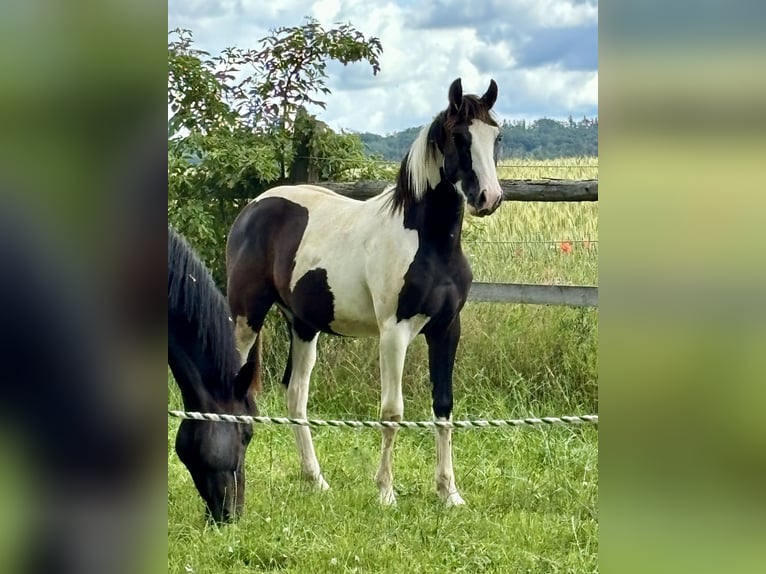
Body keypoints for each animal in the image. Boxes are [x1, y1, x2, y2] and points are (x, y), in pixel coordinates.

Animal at [226, 77, 504, 508]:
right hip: (246, 319)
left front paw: (449, 493)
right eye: (459, 136)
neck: (427, 241)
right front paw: (386, 493)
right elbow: (392, 412)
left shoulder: (446, 329)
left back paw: (316, 480)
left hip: (303, 326)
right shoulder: (394, 333)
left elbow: (443, 407)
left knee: (296, 396)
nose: (488, 198)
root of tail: (253, 208)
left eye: (496, 136)